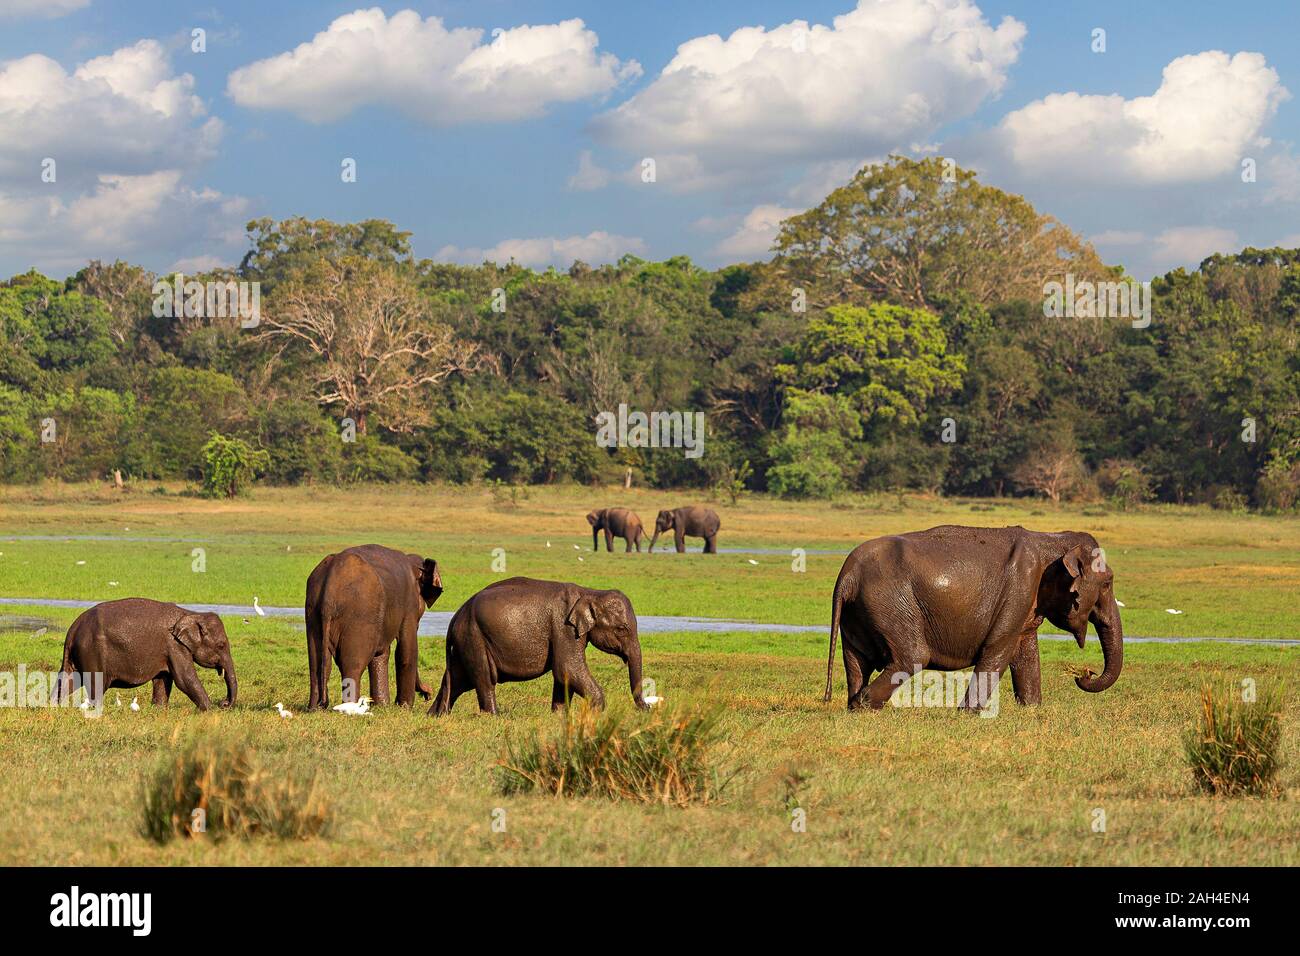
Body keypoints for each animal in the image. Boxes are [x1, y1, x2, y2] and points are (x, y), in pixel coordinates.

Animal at [54, 598, 239, 712]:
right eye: (221, 645)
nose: (224, 703)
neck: (191, 613)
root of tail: (73, 629)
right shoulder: (175, 646)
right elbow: (185, 679)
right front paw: (211, 711)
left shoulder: (168, 650)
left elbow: (164, 679)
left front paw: (159, 710)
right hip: (92, 652)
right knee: (96, 684)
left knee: (68, 679)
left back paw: (54, 706)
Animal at [305, 546, 444, 712]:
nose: (428, 693)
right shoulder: (409, 605)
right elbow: (406, 649)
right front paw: (404, 708)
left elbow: (382, 653)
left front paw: (382, 706)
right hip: (359, 614)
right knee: (352, 665)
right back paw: (351, 709)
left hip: (313, 610)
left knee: (318, 664)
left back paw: (315, 708)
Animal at [428, 574, 647, 717]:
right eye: (622, 629)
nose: (648, 708)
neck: (589, 592)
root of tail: (456, 616)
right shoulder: (564, 628)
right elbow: (568, 668)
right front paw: (596, 713)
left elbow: (563, 675)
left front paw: (558, 716)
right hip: (474, 637)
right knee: (484, 679)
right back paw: (494, 716)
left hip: (465, 641)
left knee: (458, 680)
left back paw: (436, 715)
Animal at [826, 528, 1123, 712]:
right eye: (1108, 583)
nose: (1085, 673)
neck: (1051, 539)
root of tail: (847, 575)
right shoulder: (1018, 591)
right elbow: (999, 650)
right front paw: (967, 713)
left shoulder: (1027, 601)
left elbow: (1025, 653)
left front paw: (1031, 708)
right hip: (891, 604)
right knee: (911, 657)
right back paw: (865, 705)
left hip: (857, 613)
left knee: (857, 662)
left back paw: (854, 704)